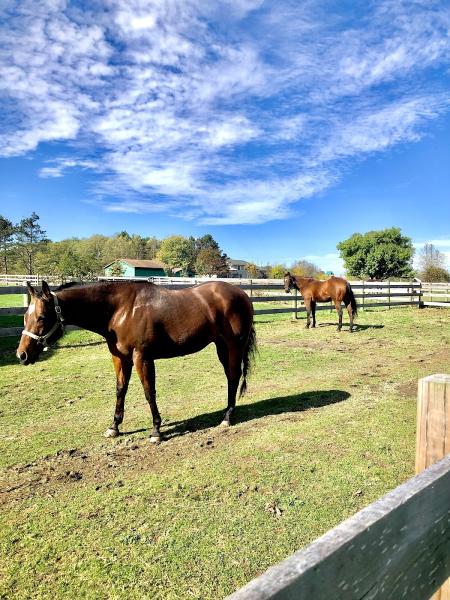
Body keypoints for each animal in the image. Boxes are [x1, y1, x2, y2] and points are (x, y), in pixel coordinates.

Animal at [15, 280, 256, 440]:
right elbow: (120, 389)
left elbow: (149, 392)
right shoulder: (120, 358)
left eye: (41, 318)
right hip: (221, 347)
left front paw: (156, 430)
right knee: (231, 377)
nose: (22, 355)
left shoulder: (142, 357)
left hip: (233, 346)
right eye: (25, 317)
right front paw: (114, 426)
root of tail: (242, 294)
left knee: (233, 376)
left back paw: (227, 417)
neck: (120, 310)